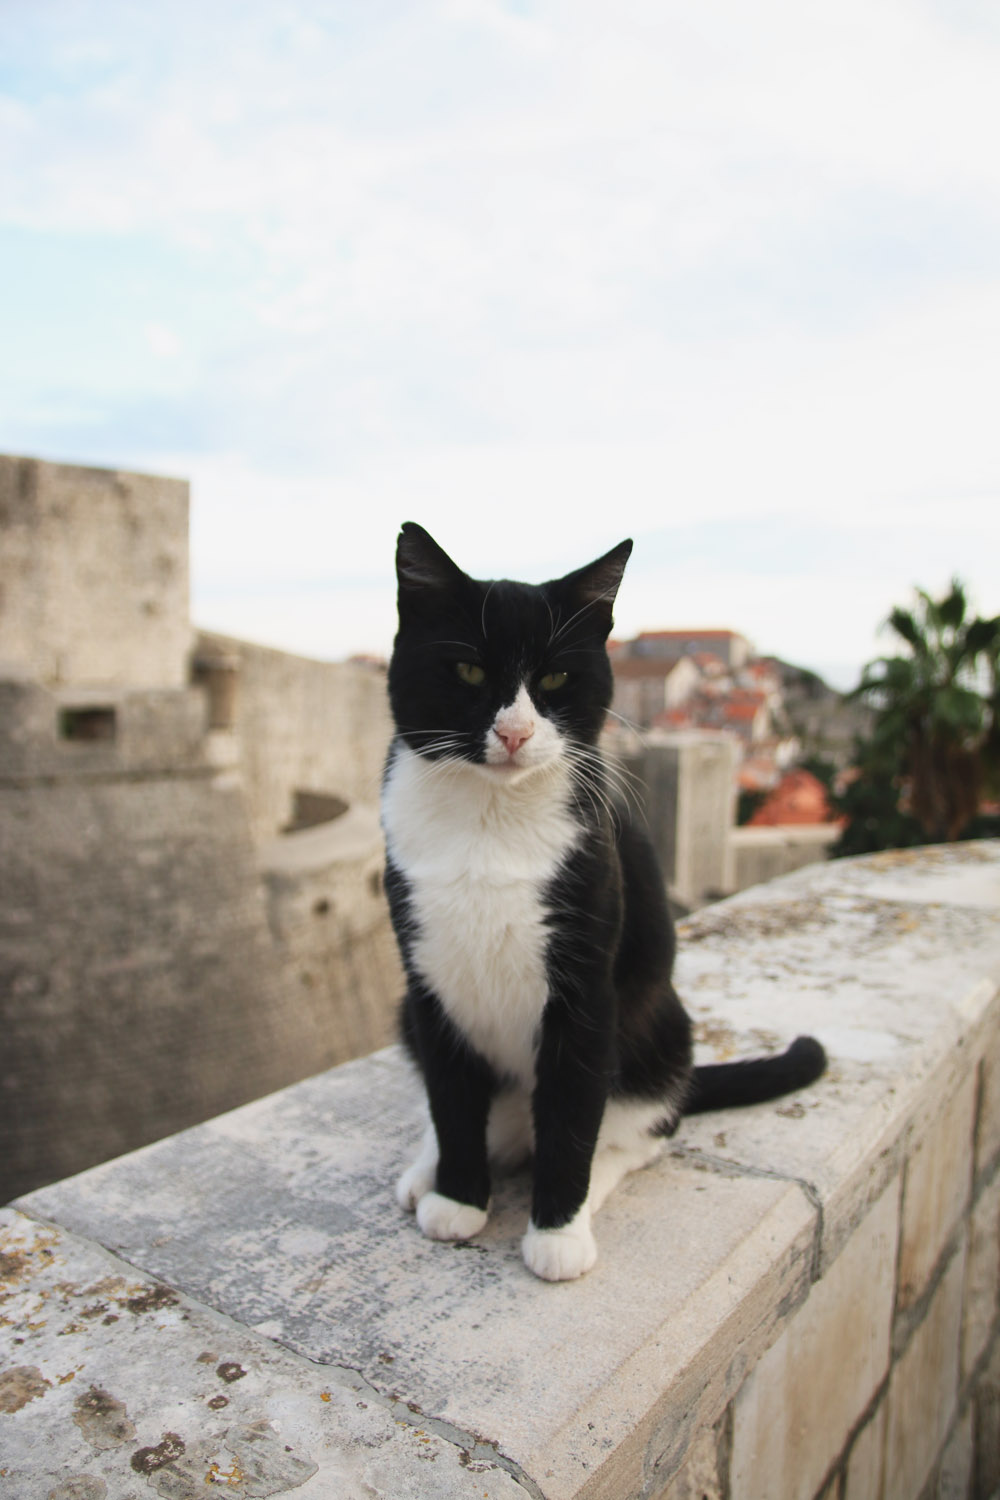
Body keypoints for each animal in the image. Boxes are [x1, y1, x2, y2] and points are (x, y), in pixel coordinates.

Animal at [379, 525, 827, 1278]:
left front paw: (557, 1232)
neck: (490, 821)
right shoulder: (430, 976)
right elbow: (451, 1095)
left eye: (557, 679)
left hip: (659, 1031)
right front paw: (459, 1197)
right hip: (407, 1010)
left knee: (640, 1132)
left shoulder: (587, 984)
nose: (516, 732)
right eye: (468, 671)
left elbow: (572, 1116)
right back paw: (428, 1169)